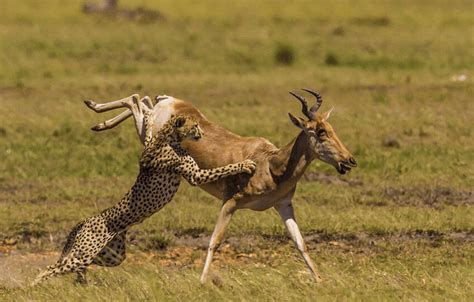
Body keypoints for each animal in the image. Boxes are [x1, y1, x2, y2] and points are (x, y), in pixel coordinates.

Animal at [33, 105, 258, 284]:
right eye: (195, 126)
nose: (202, 134)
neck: (171, 138)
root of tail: (86, 219)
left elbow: (149, 134)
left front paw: (148, 119)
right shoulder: (196, 176)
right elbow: (223, 168)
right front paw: (244, 164)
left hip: (111, 255)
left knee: (75, 267)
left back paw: (81, 281)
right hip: (85, 253)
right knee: (51, 268)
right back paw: (33, 286)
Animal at [85, 89, 358, 284]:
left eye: (331, 128)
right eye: (320, 132)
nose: (349, 161)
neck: (270, 163)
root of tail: (171, 101)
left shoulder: (283, 205)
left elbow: (300, 242)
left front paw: (319, 279)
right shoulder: (231, 202)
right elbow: (215, 241)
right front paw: (203, 281)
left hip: (146, 128)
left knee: (141, 100)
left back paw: (98, 120)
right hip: (148, 134)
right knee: (135, 101)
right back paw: (94, 110)